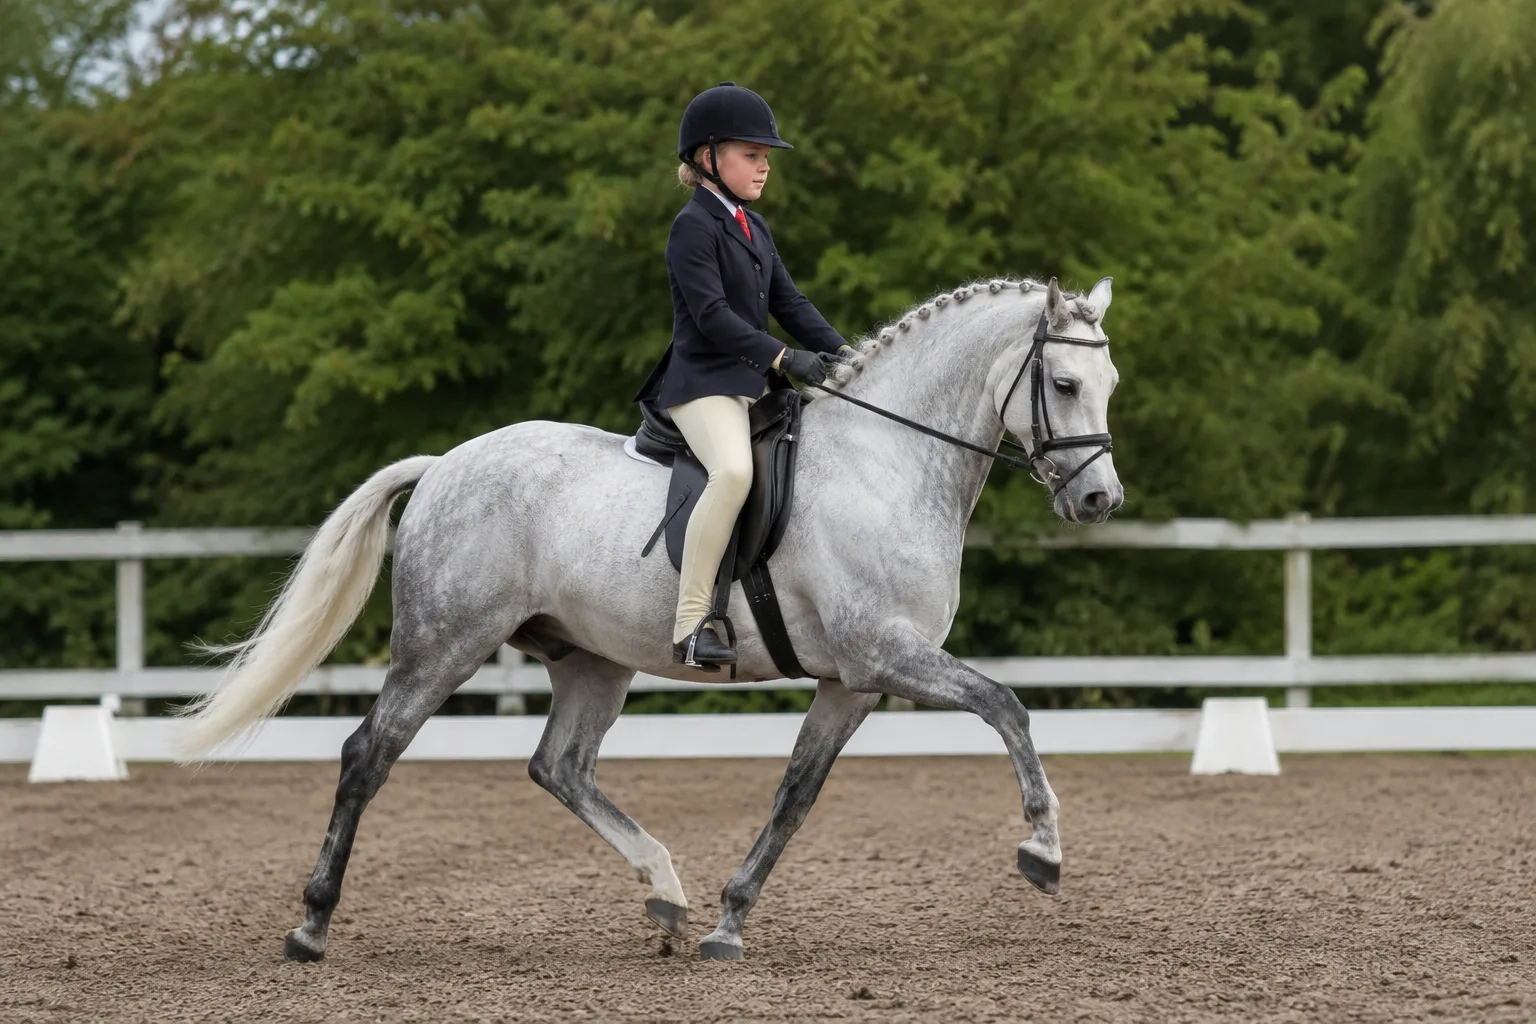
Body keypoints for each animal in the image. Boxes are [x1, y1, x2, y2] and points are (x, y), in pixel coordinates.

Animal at [176, 274, 1124, 962]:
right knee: (368, 755)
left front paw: (728, 923)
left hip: (592, 660)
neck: (885, 462)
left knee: (560, 767)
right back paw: (311, 926)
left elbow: (795, 796)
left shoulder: (852, 682)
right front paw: (1043, 850)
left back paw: (665, 892)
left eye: (1109, 383)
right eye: (1064, 382)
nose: (1099, 500)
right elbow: (1007, 705)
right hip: (445, 642)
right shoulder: (885, 654)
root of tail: (446, 462)